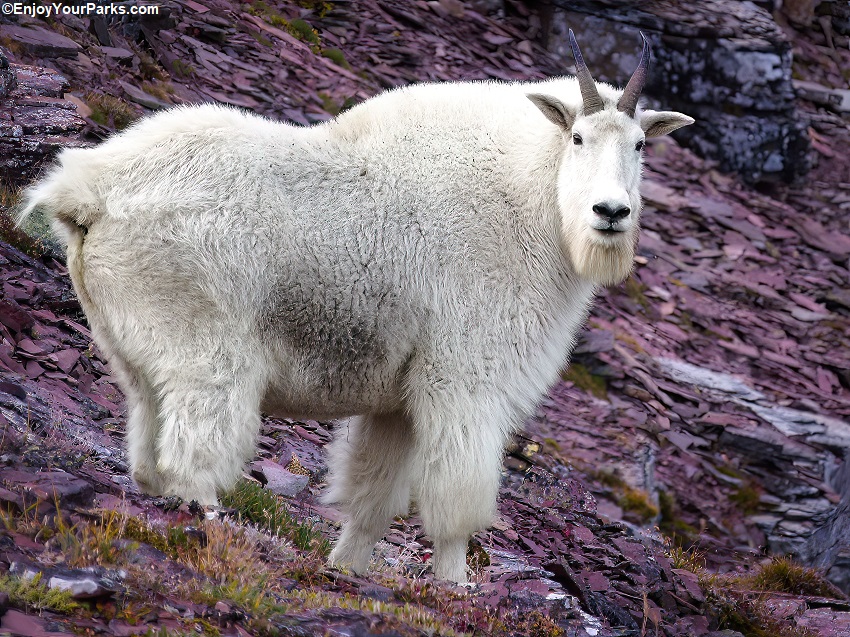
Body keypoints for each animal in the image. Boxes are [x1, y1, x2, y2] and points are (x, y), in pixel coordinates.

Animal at [19, 33, 688, 580]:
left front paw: (347, 567)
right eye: (577, 137)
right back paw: (211, 520)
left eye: (640, 146)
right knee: (195, 440)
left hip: (130, 344)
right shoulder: (465, 376)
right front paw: (456, 588)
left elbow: (374, 495)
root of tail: (88, 192)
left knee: (146, 441)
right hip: (202, 340)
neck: (530, 201)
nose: (611, 212)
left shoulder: (397, 402)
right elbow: (455, 499)